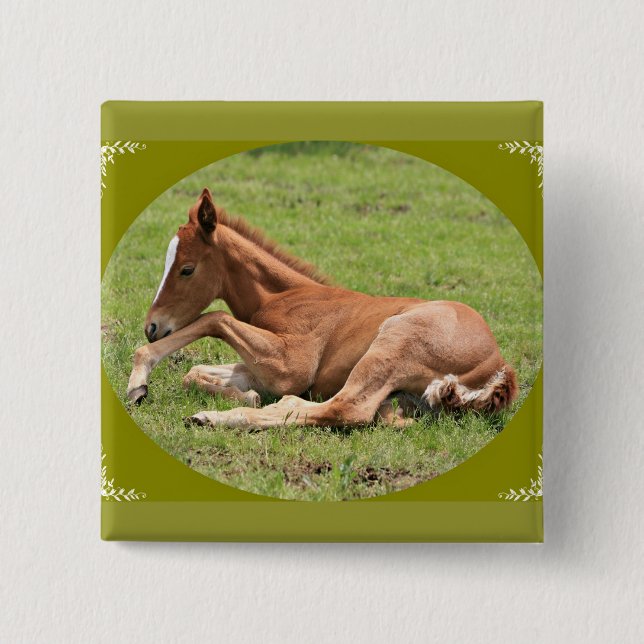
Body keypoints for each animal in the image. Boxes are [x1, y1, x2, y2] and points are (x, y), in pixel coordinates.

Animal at [127, 188, 518, 429]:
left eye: (186, 269)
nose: (152, 326)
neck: (285, 296)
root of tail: (498, 366)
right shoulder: (261, 368)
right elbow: (193, 372)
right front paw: (246, 394)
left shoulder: (292, 367)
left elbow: (215, 318)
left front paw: (138, 382)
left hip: (393, 342)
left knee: (346, 408)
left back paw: (213, 417)